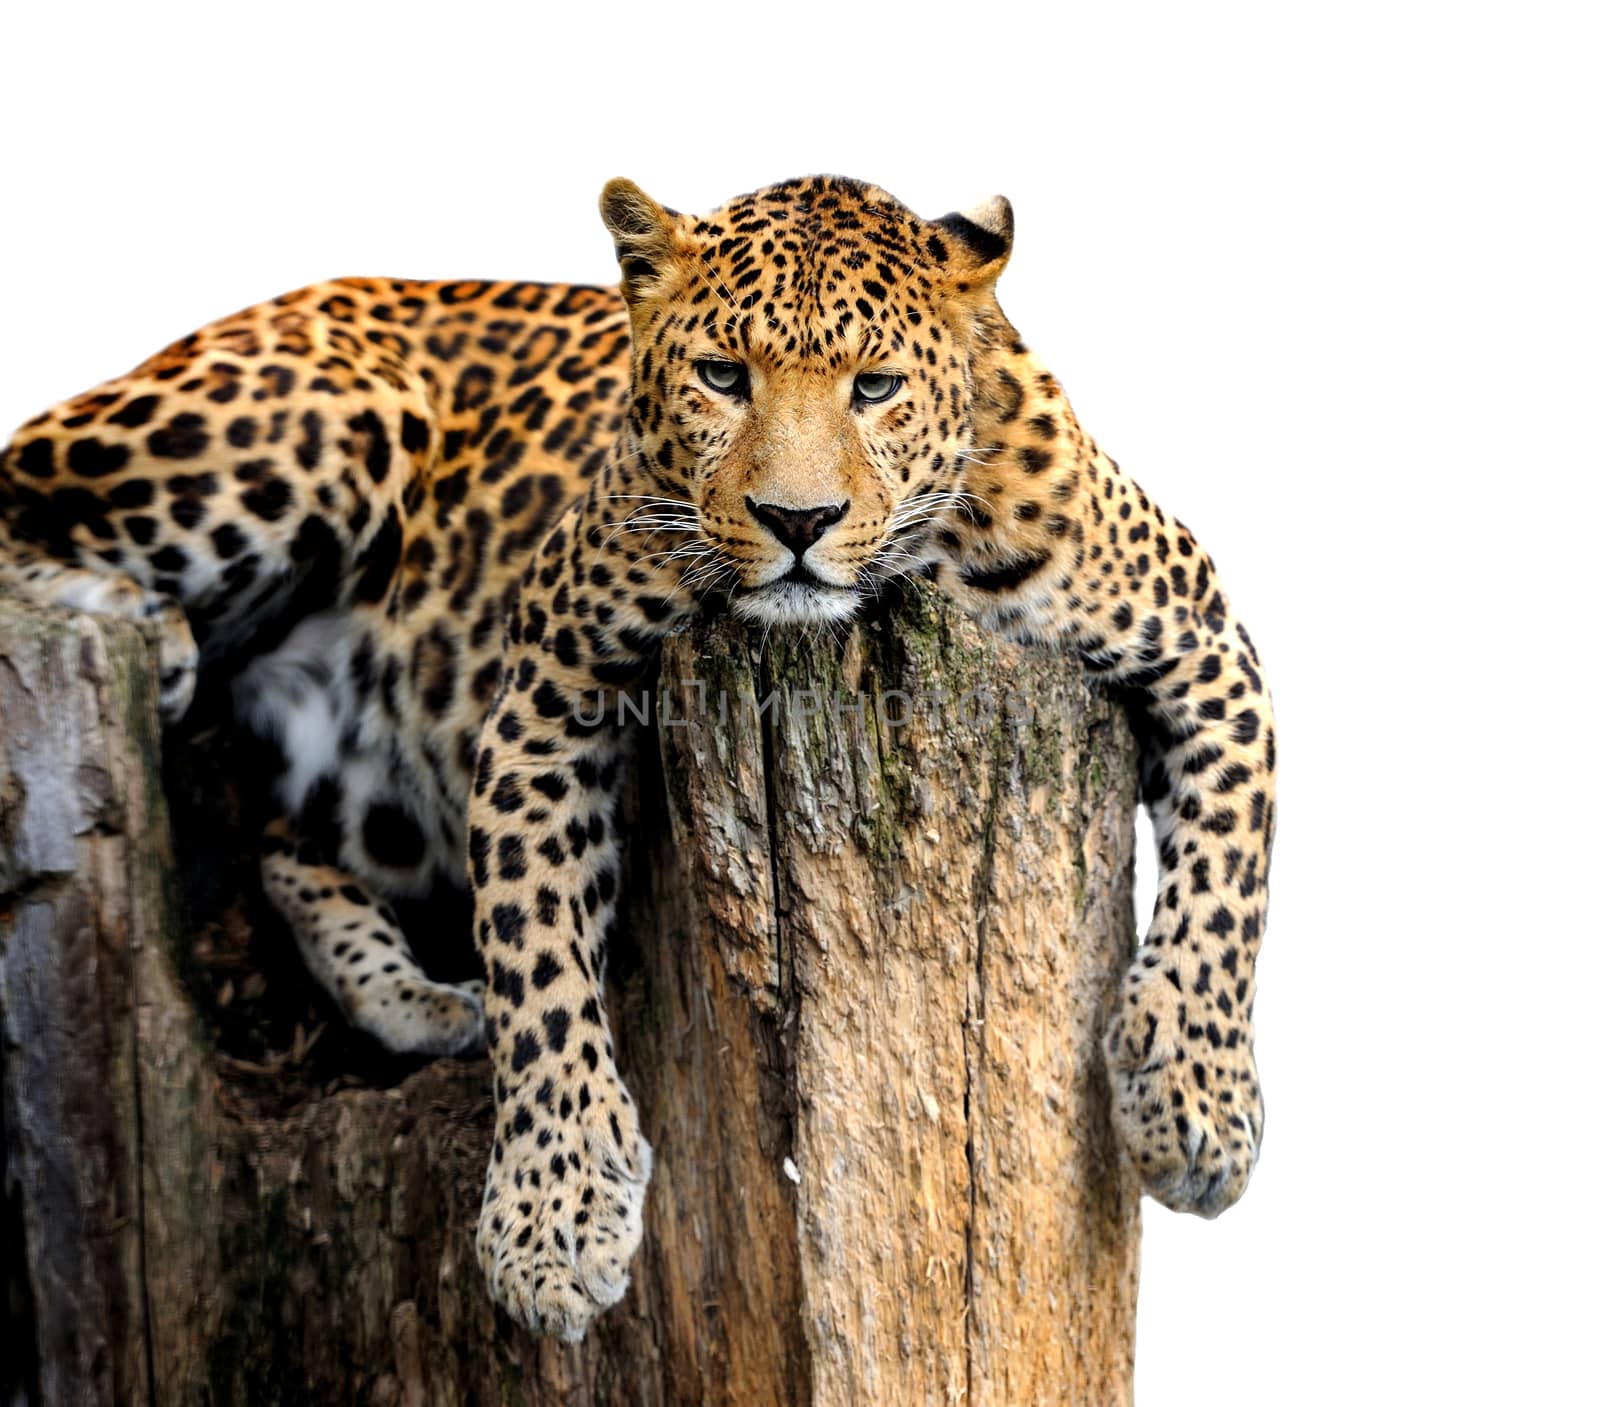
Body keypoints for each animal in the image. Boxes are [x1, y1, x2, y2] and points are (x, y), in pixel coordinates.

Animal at [0, 176, 1273, 1344]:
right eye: (721, 377)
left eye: (873, 387)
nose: (797, 522)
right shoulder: (546, 687)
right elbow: (537, 955)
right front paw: (554, 1219)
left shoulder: (1205, 643)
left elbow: (1228, 884)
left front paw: (1194, 1108)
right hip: (315, 419)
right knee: (22, 491)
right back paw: (149, 628)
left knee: (283, 841)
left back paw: (417, 999)